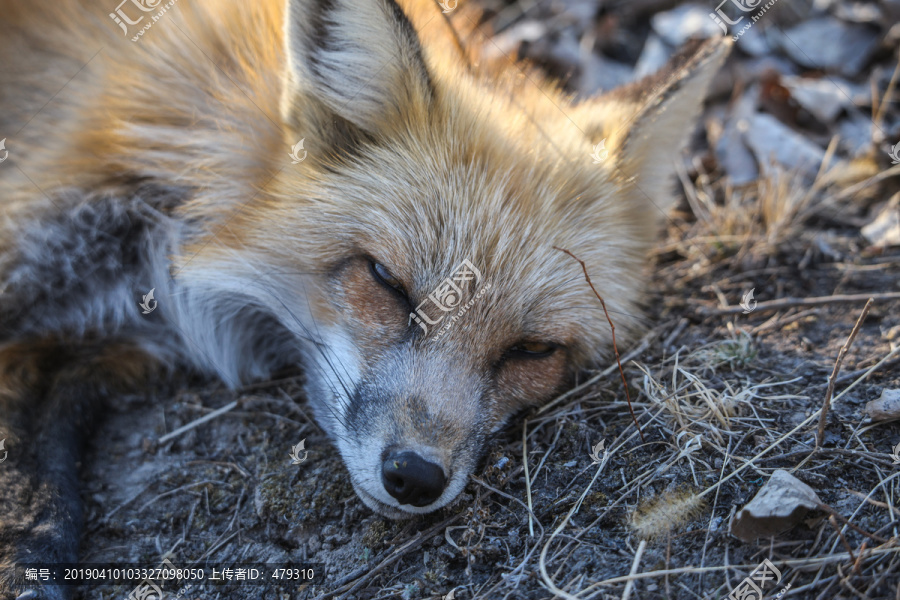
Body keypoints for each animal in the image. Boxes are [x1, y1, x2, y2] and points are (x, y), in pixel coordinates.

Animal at [0, 0, 732, 592]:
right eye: (388, 281)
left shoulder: (117, 345)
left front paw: (35, 551)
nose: (413, 478)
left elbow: (43, 455)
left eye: (533, 350)